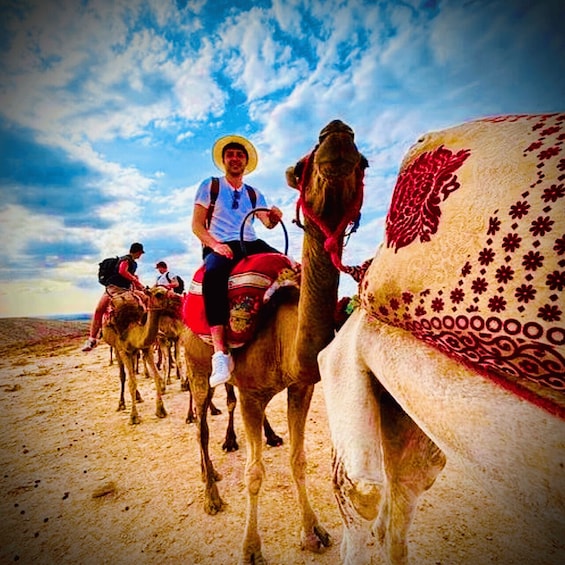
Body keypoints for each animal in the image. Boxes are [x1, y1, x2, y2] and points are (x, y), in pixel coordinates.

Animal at [101, 286, 169, 424]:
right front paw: (133, 416)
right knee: (123, 375)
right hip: (117, 349)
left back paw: (138, 396)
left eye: (167, 291)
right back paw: (121, 403)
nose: (172, 299)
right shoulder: (123, 350)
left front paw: (161, 410)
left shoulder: (146, 347)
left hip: (133, 352)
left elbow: (156, 377)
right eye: (158, 294)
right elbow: (131, 382)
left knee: (132, 370)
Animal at [181, 119, 366, 560]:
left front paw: (313, 532)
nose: (337, 130)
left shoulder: (301, 386)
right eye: (298, 169)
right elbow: (254, 472)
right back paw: (211, 492)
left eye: (364, 163)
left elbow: (299, 460)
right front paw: (251, 549)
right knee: (201, 423)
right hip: (195, 366)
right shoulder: (251, 394)